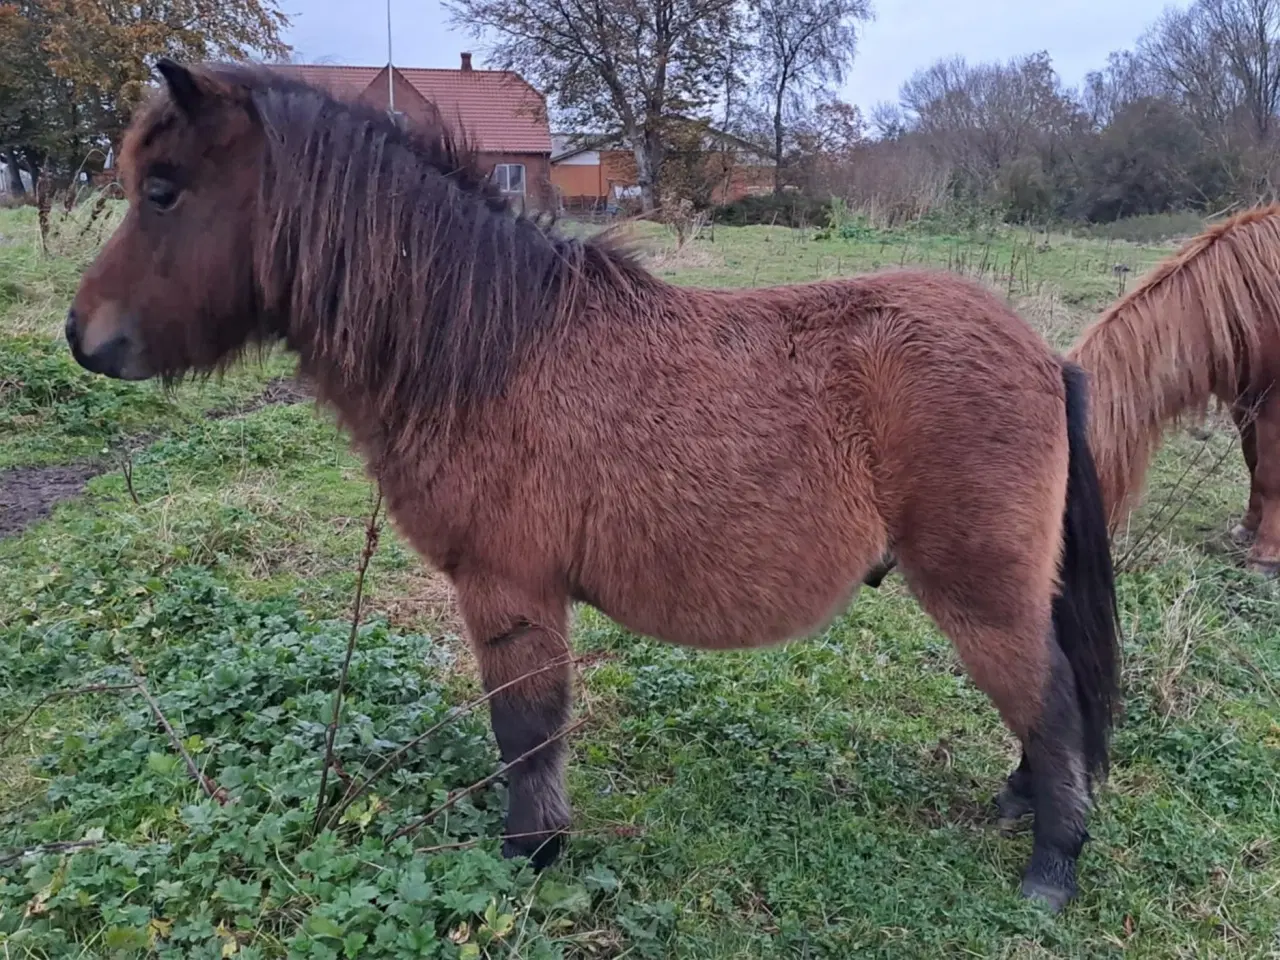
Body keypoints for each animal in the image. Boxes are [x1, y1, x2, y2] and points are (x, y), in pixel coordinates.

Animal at [62, 58, 1121, 911]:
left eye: (162, 191)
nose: (81, 335)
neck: (485, 349)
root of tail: (1044, 356)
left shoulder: (509, 591)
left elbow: (526, 730)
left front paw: (530, 855)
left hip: (979, 590)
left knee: (1052, 701)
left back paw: (1053, 867)